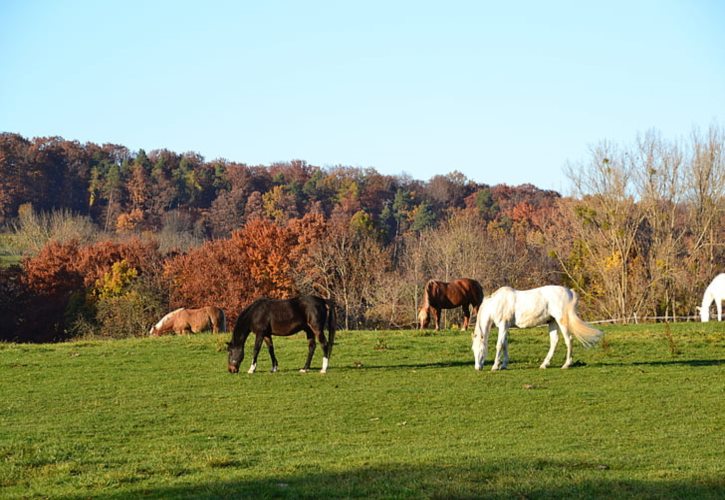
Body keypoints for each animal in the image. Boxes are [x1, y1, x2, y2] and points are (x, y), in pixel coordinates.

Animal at [470, 286, 600, 372]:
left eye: (481, 349)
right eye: (473, 349)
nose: (477, 368)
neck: (496, 303)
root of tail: (570, 292)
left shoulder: (503, 326)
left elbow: (499, 345)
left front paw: (495, 366)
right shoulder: (505, 327)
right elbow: (505, 345)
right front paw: (504, 365)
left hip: (561, 321)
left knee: (569, 340)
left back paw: (566, 364)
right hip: (552, 322)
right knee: (554, 341)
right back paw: (544, 364)